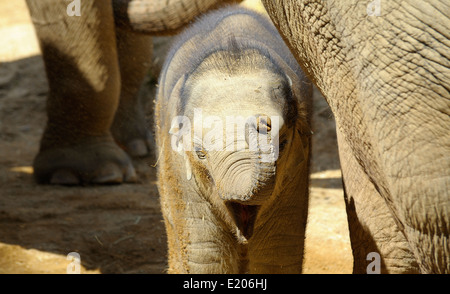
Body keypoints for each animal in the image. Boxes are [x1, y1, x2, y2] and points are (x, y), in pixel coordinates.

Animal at [155, 5, 312, 274]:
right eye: (200, 153)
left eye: (282, 144)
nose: (260, 122)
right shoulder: (178, 171)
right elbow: (204, 254)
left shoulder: (296, 174)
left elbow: (277, 251)